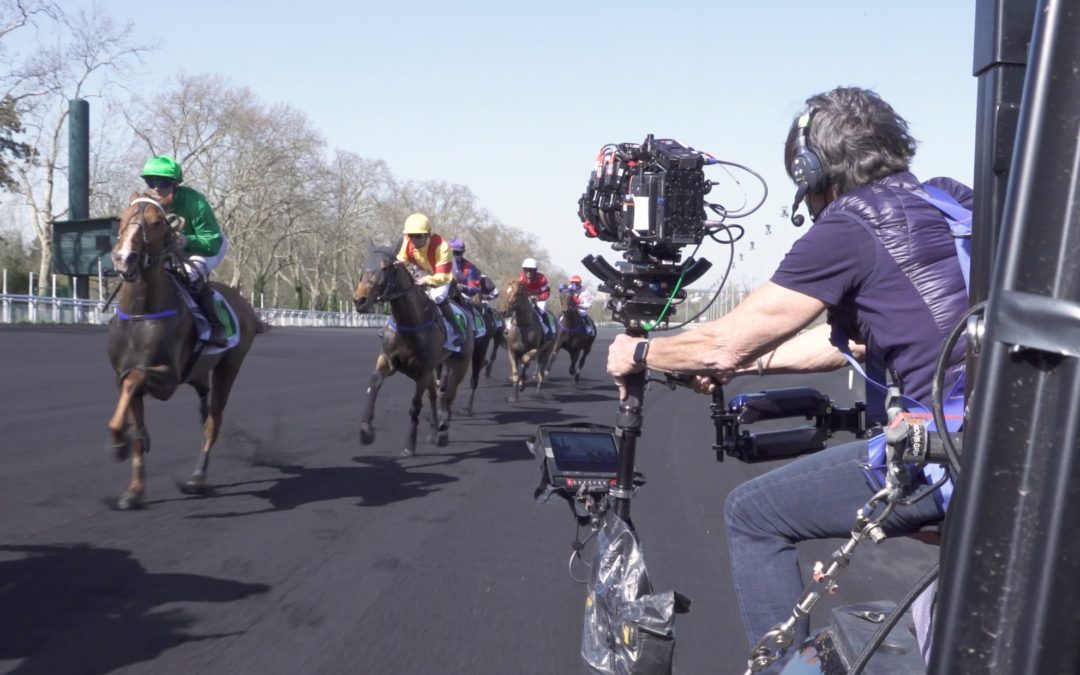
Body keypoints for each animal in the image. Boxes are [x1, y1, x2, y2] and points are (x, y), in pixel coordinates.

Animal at [106, 192, 266, 507]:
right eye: (121, 217)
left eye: (157, 222)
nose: (124, 258)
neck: (141, 313)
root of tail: (245, 306)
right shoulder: (121, 373)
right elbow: (133, 412)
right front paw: (134, 490)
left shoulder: (168, 379)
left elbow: (135, 378)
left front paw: (119, 442)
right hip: (198, 371)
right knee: (203, 397)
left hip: (229, 366)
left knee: (213, 422)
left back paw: (197, 478)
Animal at [354, 245, 473, 455]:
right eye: (364, 265)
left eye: (385, 267)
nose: (360, 300)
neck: (408, 323)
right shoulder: (389, 361)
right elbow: (373, 384)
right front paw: (366, 430)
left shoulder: (423, 369)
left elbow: (416, 405)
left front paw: (409, 445)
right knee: (435, 394)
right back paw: (434, 432)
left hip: (459, 365)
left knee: (448, 395)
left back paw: (443, 431)